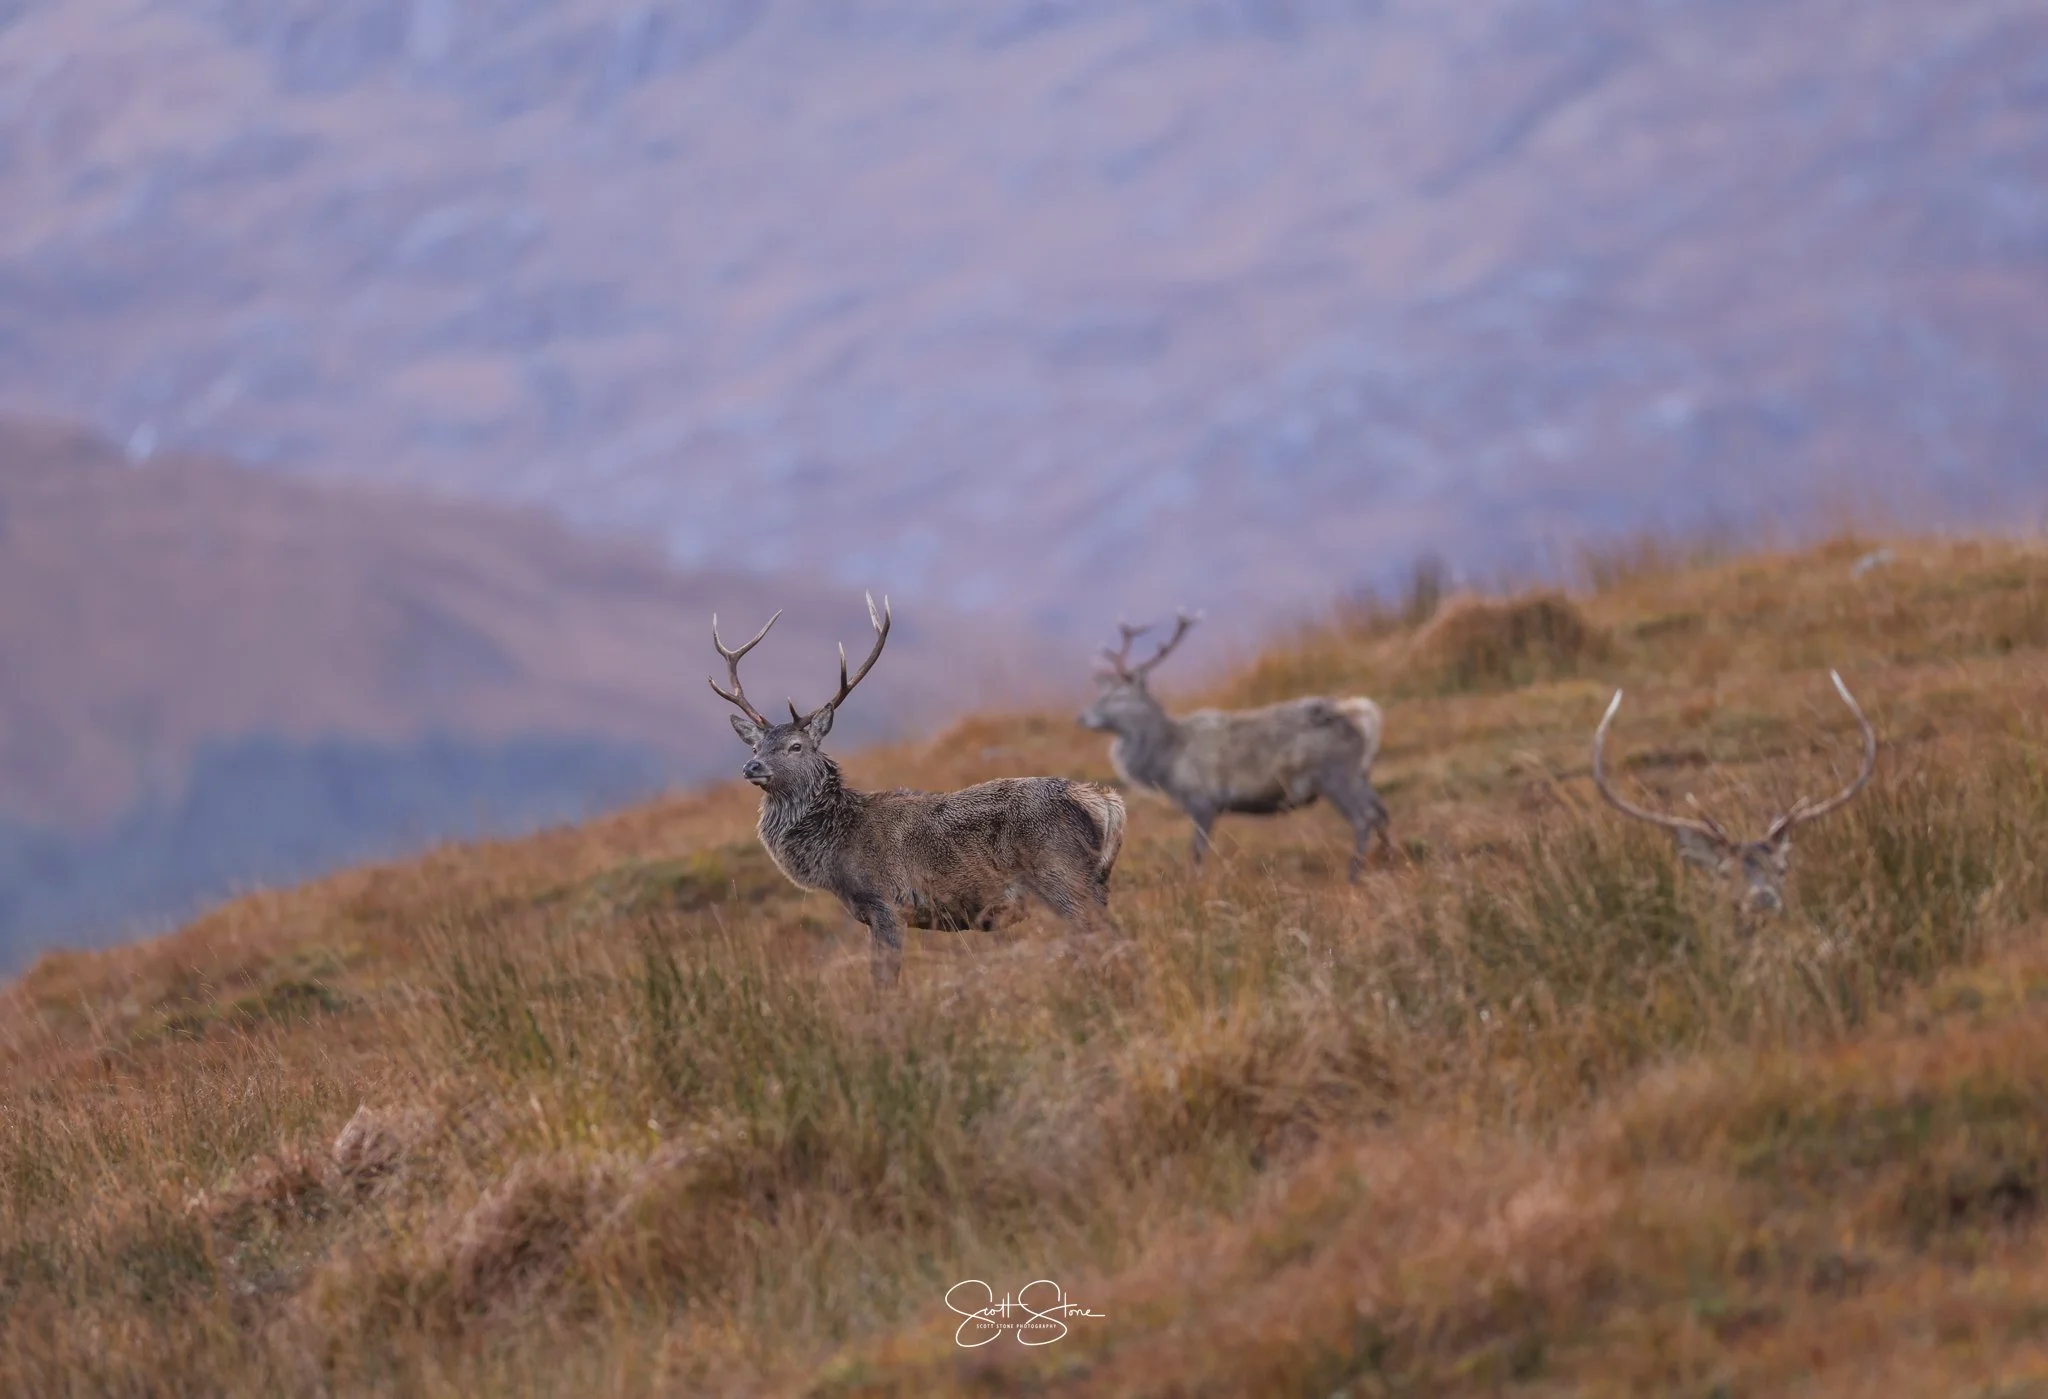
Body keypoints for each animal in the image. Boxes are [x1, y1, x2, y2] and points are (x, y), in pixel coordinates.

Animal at [711, 593, 1127, 986]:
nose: (751, 767)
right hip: (1093, 884)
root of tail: (1104, 802)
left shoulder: (886, 904)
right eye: (755, 747)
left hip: (1062, 877)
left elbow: (883, 985)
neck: (836, 852)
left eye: (795, 746)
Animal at [1077, 611, 1392, 881]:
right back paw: (1388, 862)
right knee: (1381, 812)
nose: (1082, 716)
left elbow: (1197, 850)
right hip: (1359, 774)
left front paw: (1196, 885)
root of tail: (1361, 715)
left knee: (1364, 818)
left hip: (1335, 776)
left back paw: (1354, 875)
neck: (1166, 761)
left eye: (1119, 696)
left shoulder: (1202, 800)